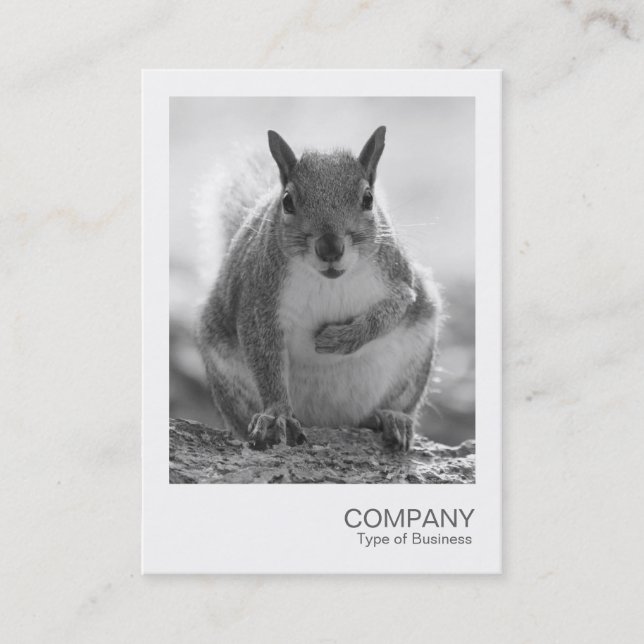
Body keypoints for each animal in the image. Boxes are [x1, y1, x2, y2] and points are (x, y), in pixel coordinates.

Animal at [196, 126, 442, 452]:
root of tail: (329, 422)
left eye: (368, 198)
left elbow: (392, 310)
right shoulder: (259, 299)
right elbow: (265, 358)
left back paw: (391, 417)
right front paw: (276, 414)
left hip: (415, 361)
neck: (330, 281)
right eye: (287, 201)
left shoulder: (399, 278)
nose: (330, 248)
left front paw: (340, 339)